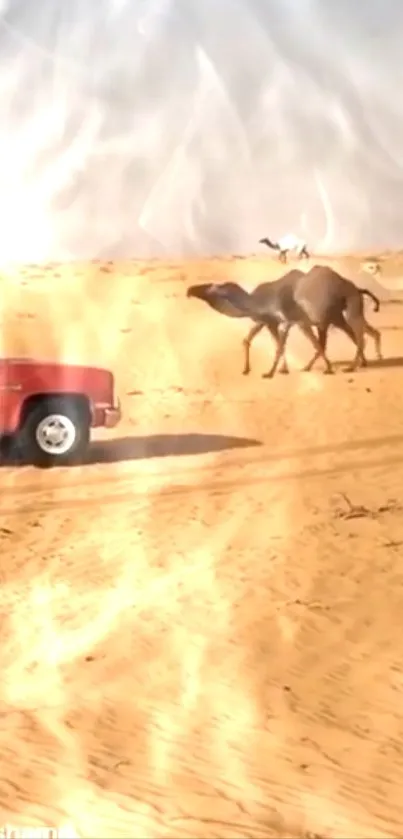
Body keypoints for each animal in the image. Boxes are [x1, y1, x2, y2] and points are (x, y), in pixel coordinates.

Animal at [186, 268, 382, 378]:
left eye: (211, 287)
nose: (189, 290)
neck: (257, 302)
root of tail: (355, 287)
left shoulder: (288, 320)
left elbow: (280, 345)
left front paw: (269, 372)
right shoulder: (271, 321)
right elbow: (254, 341)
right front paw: (256, 370)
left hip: (334, 313)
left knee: (355, 334)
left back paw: (352, 366)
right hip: (335, 315)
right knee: (351, 334)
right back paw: (359, 363)